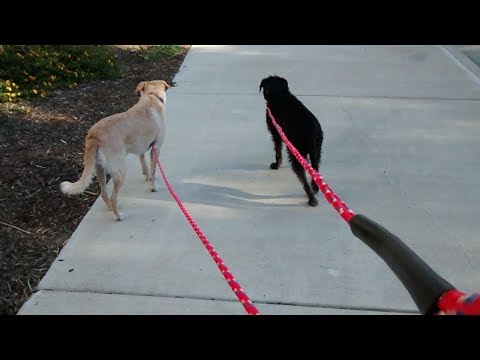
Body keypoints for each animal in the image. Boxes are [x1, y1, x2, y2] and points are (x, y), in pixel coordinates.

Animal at [260, 74, 324, 207]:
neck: (280, 94)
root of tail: (310, 133)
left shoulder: (276, 133)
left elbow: (278, 151)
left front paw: (276, 165)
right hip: (316, 150)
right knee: (315, 169)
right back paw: (315, 189)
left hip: (296, 153)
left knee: (303, 179)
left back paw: (311, 199)